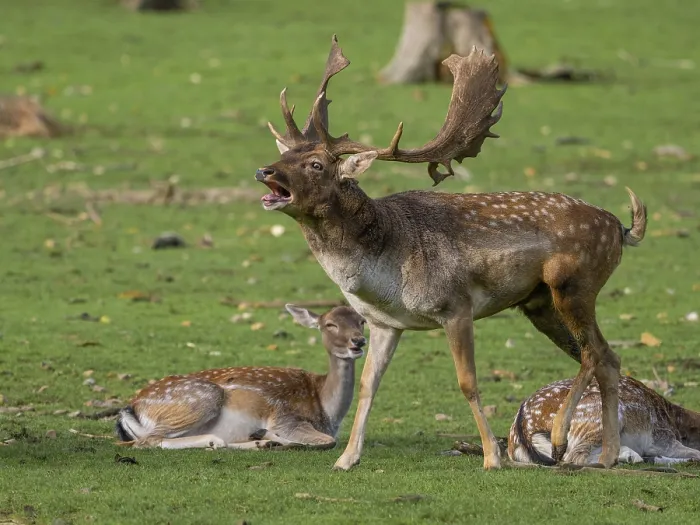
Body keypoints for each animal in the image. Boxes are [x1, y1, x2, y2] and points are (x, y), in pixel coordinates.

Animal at [115, 305, 367, 450]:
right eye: (330, 324)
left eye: (362, 321)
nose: (359, 341)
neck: (328, 412)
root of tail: (132, 408)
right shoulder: (287, 418)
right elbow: (328, 442)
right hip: (201, 398)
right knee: (147, 441)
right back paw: (222, 440)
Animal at [255, 35, 647, 470]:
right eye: (285, 156)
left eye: (316, 164)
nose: (264, 171)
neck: (384, 274)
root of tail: (620, 228)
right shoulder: (384, 323)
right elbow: (369, 385)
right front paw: (346, 458)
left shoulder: (456, 305)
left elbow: (467, 382)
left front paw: (492, 457)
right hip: (540, 304)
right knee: (607, 358)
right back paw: (606, 456)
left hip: (574, 284)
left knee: (594, 353)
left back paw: (562, 439)